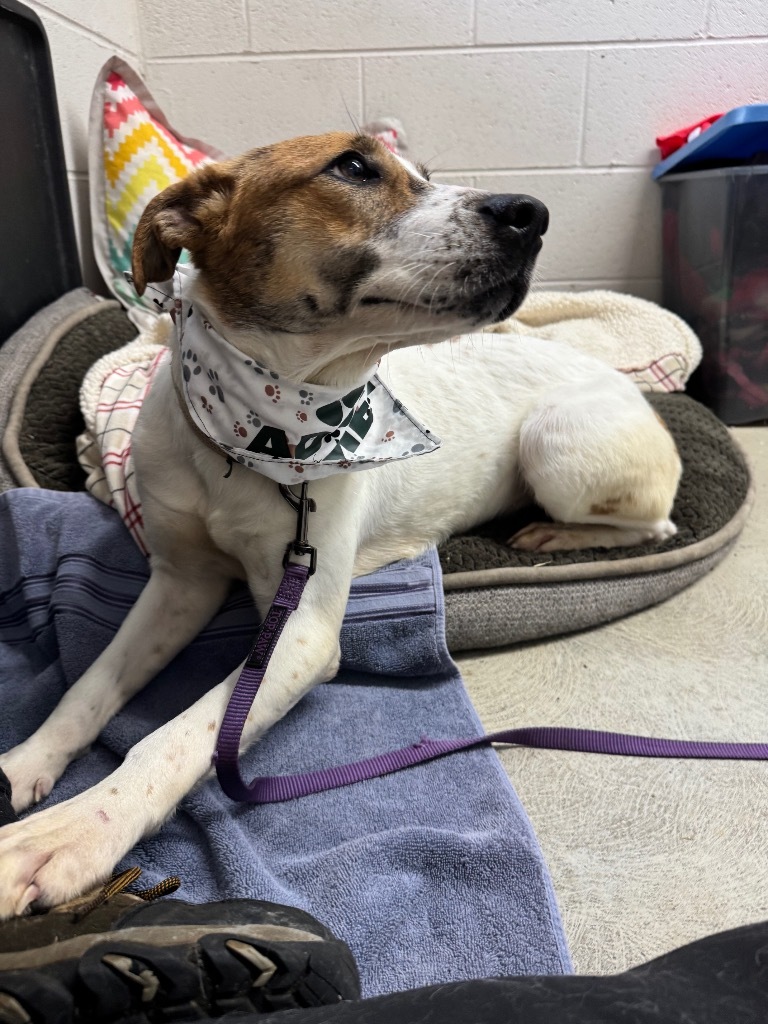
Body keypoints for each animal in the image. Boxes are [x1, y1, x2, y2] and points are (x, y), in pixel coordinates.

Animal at [0, 132, 684, 917]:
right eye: (353, 167)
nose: (532, 213)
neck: (254, 434)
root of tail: (630, 387)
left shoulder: (300, 630)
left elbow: (173, 740)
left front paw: (69, 833)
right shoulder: (179, 582)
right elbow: (89, 685)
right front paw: (27, 763)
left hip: (555, 440)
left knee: (655, 527)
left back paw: (550, 534)